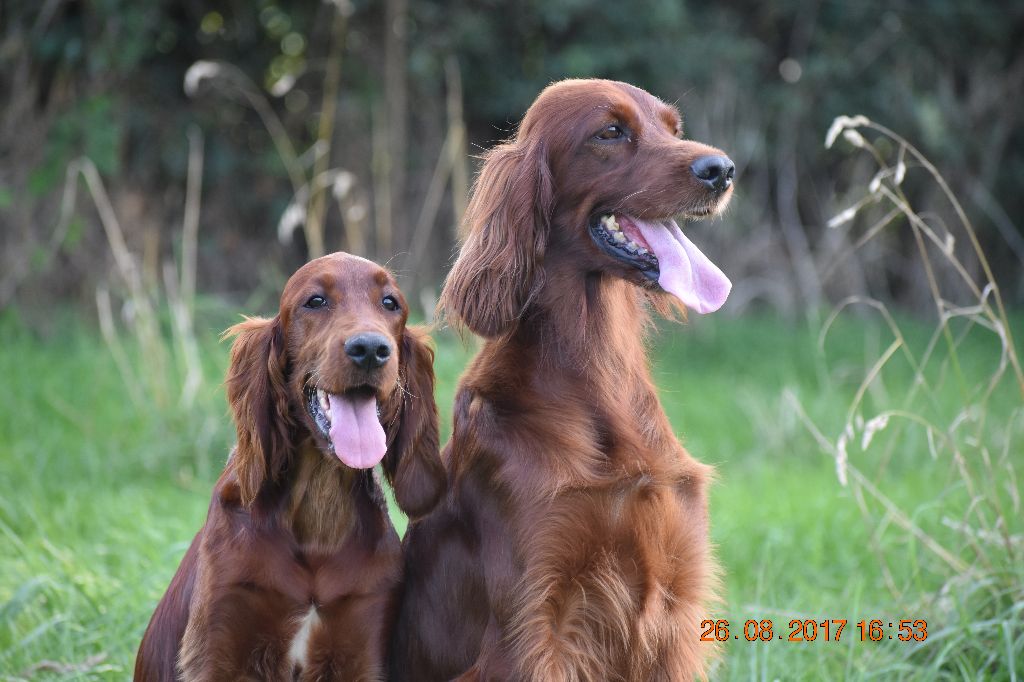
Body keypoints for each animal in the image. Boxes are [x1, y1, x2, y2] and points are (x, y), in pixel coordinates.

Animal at [134, 251, 442, 675]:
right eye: (315, 301)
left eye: (390, 303)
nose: (370, 349)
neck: (317, 516)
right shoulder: (218, 646)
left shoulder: (363, 643)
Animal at [387, 76, 733, 675]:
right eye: (610, 131)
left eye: (673, 128)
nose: (723, 169)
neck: (598, 375)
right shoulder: (536, 624)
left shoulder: (674, 604)